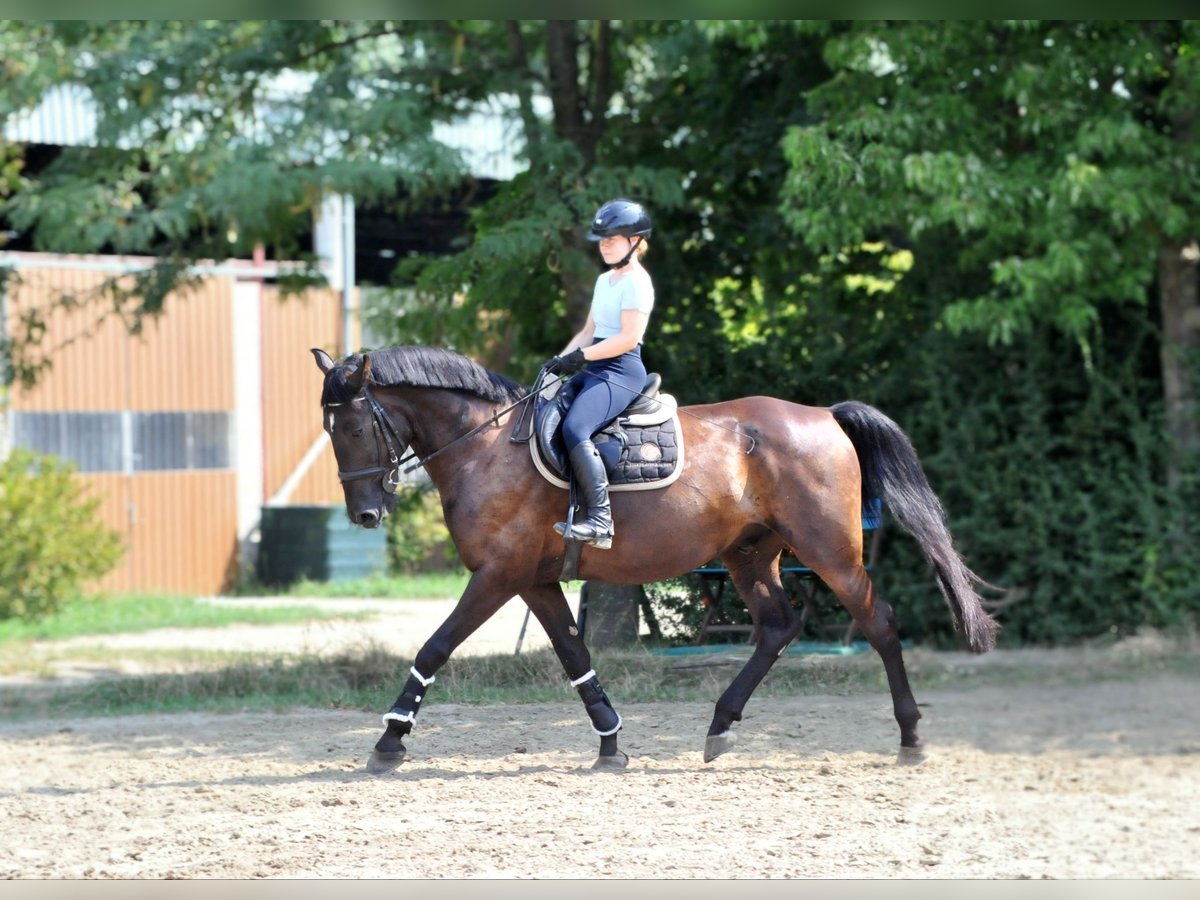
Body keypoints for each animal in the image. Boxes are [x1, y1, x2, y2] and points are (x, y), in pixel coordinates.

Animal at [314, 345, 998, 777]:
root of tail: (825, 416)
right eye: (329, 431)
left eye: (354, 428)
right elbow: (575, 656)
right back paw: (720, 727)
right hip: (749, 554)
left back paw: (911, 737)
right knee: (778, 626)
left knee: (878, 621)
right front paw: (610, 742)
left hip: (829, 550)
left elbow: (435, 647)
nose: (365, 516)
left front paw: (389, 740)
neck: (486, 445)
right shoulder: (534, 580)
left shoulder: (498, 576)